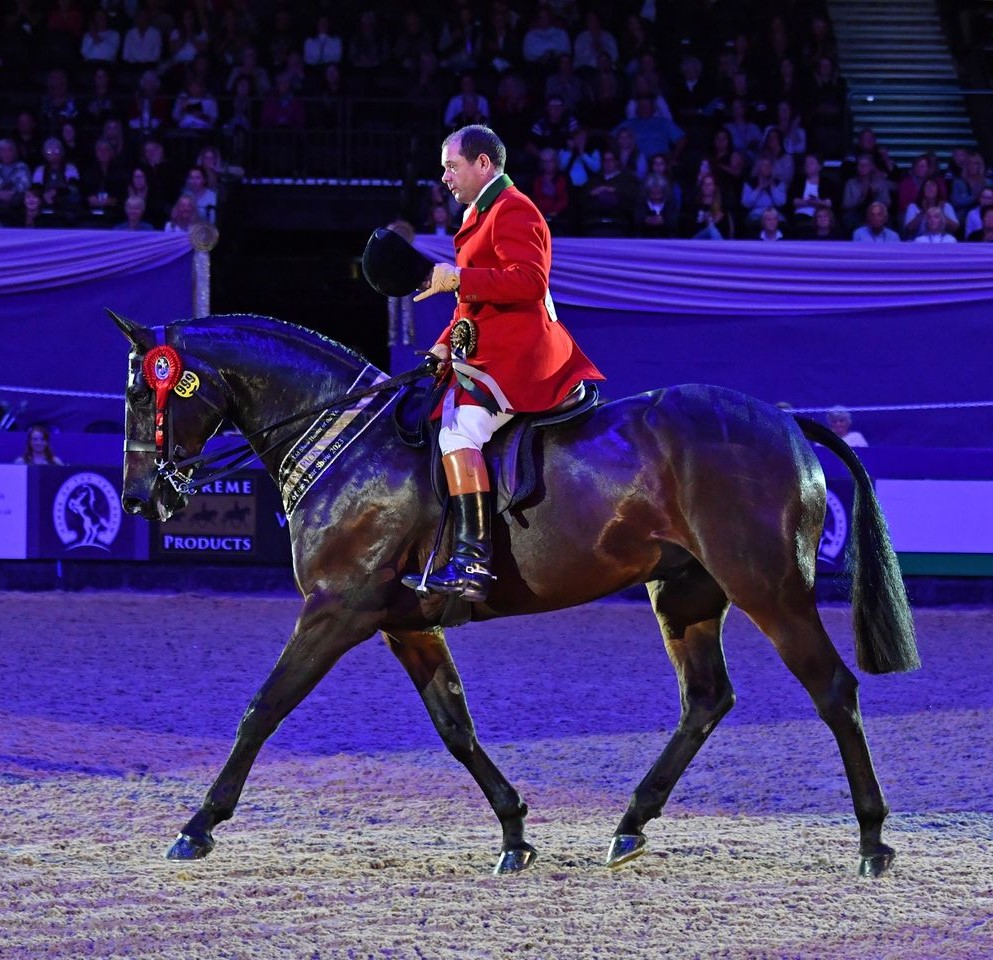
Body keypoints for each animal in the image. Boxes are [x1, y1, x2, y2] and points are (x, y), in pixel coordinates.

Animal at [112, 314, 920, 876]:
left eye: (144, 392)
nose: (140, 499)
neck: (348, 444)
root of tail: (783, 419)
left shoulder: (336, 612)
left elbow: (262, 710)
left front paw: (197, 826)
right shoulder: (406, 625)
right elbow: (455, 728)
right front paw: (514, 832)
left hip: (768, 587)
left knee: (832, 690)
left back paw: (872, 840)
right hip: (685, 593)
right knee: (706, 700)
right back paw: (630, 823)